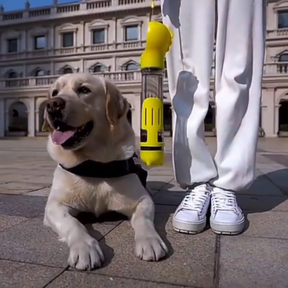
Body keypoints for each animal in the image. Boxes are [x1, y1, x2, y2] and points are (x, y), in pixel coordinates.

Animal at [43, 73, 168, 272]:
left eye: (84, 89)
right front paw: (85, 247)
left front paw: (150, 241)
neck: (94, 164)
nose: (52, 104)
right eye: (54, 92)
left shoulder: (143, 200)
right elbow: (73, 223)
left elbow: (144, 220)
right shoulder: (54, 206)